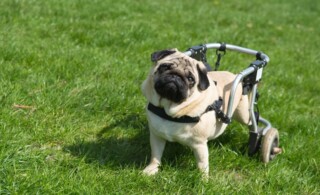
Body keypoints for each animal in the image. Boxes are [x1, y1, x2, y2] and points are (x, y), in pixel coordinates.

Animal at [141, 48, 251, 177]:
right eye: (164, 67)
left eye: (190, 79)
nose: (175, 76)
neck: (168, 110)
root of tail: (233, 75)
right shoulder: (157, 136)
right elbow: (155, 155)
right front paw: (152, 169)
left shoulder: (200, 145)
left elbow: (202, 165)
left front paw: (203, 179)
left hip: (243, 114)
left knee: (252, 121)